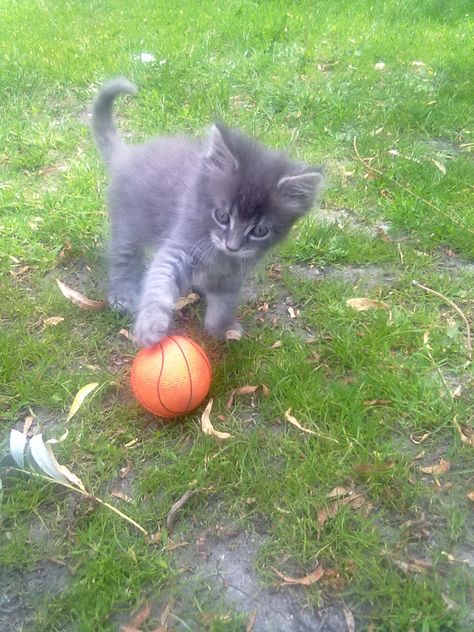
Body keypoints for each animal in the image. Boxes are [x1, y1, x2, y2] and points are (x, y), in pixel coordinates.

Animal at [91, 79, 322, 348]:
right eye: (222, 216)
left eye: (260, 230)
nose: (232, 246)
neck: (220, 257)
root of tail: (128, 154)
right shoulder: (179, 246)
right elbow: (160, 281)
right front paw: (151, 326)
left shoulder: (232, 277)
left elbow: (223, 305)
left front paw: (222, 329)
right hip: (128, 225)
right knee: (123, 259)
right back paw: (124, 295)